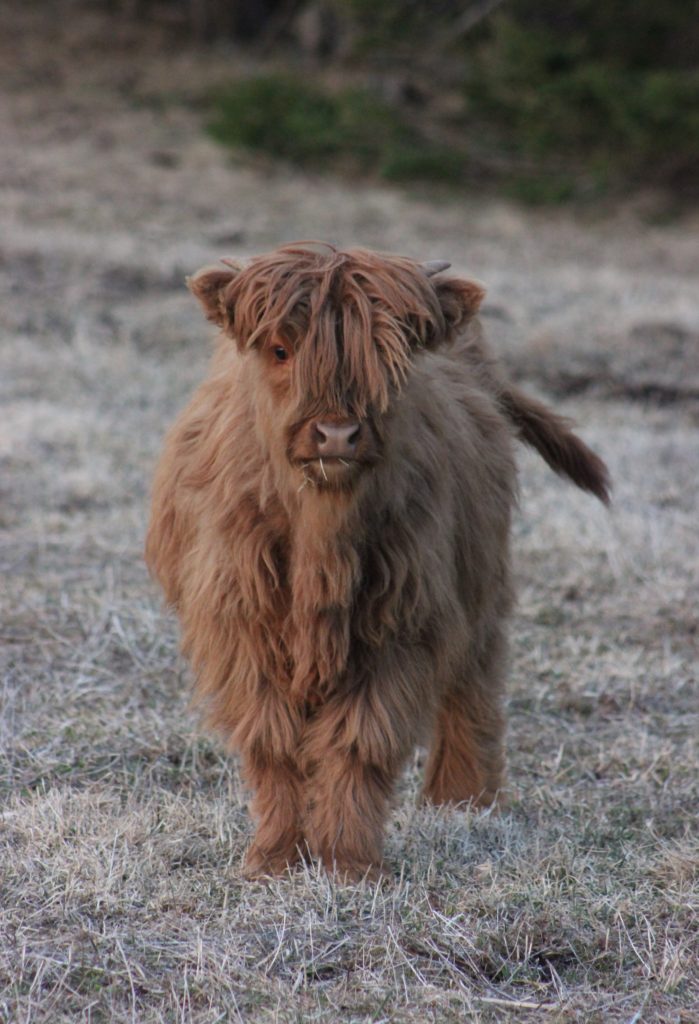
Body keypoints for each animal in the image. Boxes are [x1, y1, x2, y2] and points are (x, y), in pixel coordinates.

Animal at [145, 241, 609, 880]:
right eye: (281, 349)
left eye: (391, 359)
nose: (337, 434)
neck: (322, 545)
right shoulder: (242, 623)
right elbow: (273, 740)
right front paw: (275, 857)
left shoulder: (400, 623)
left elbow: (360, 741)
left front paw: (350, 861)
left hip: (481, 576)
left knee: (475, 680)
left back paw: (465, 798)